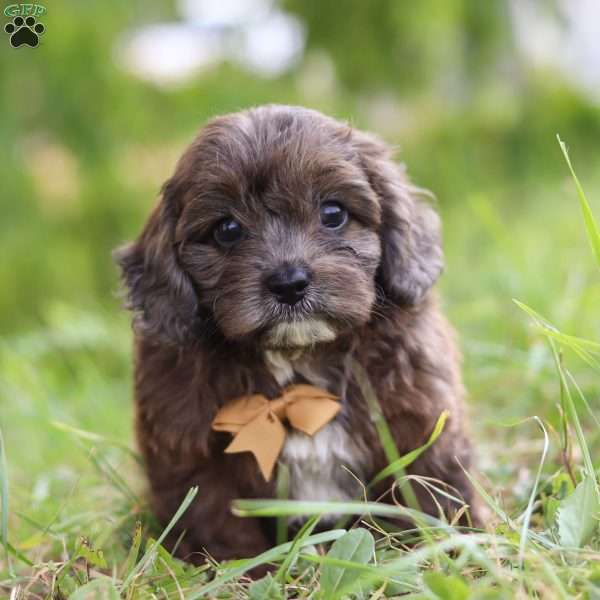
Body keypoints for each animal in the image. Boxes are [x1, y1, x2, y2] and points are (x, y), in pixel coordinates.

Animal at [115, 105, 480, 564]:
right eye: (227, 229)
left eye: (333, 214)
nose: (289, 283)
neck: (297, 362)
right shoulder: (191, 453)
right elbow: (218, 524)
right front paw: (244, 571)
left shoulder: (418, 419)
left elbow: (432, 493)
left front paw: (456, 550)